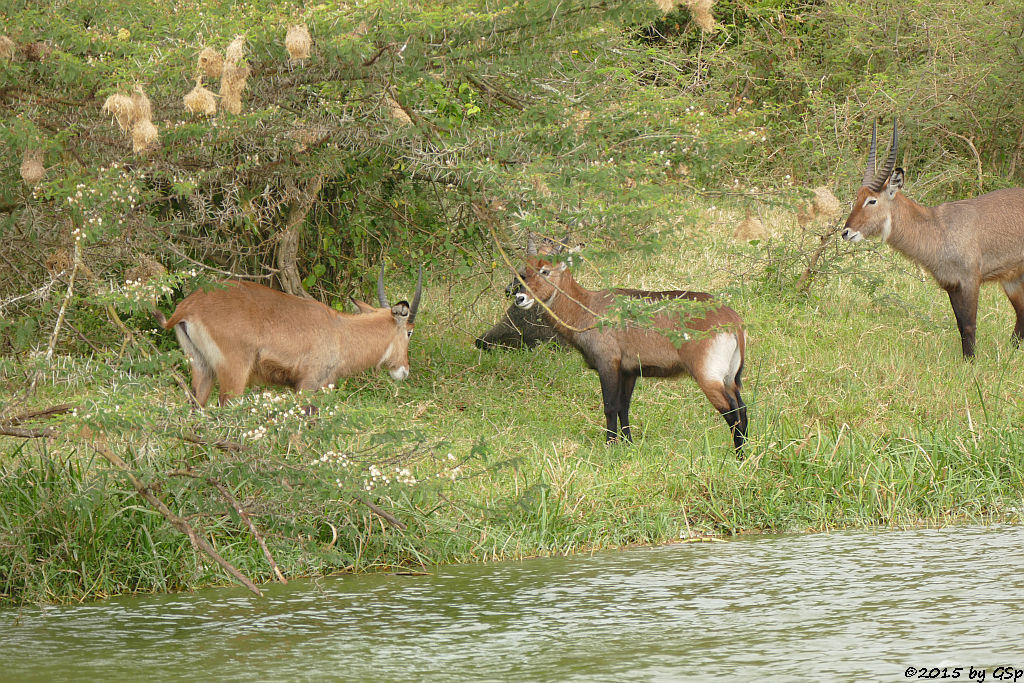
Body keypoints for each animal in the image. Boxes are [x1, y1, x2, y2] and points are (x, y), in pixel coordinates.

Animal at [150, 266, 419, 405]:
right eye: (409, 331)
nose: (404, 371)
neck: (341, 331)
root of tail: (189, 306)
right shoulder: (307, 386)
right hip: (233, 378)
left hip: (202, 369)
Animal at [516, 240, 749, 454]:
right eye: (525, 272)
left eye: (545, 270)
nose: (520, 298)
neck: (586, 307)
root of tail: (733, 319)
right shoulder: (629, 371)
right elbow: (624, 407)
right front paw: (628, 444)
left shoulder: (608, 364)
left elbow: (610, 406)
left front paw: (610, 446)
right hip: (730, 378)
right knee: (742, 409)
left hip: (708, 376)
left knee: (731, 412)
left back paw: (738, 458)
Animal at [843, 123, 1024, 360]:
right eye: (857, 198)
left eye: (872, 200)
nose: (846, 232)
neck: (938, 228)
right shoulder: (951, 285)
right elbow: (961, 325)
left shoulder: (970, 281)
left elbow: (969, 325)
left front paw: (971, 363)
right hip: (1013, 280)